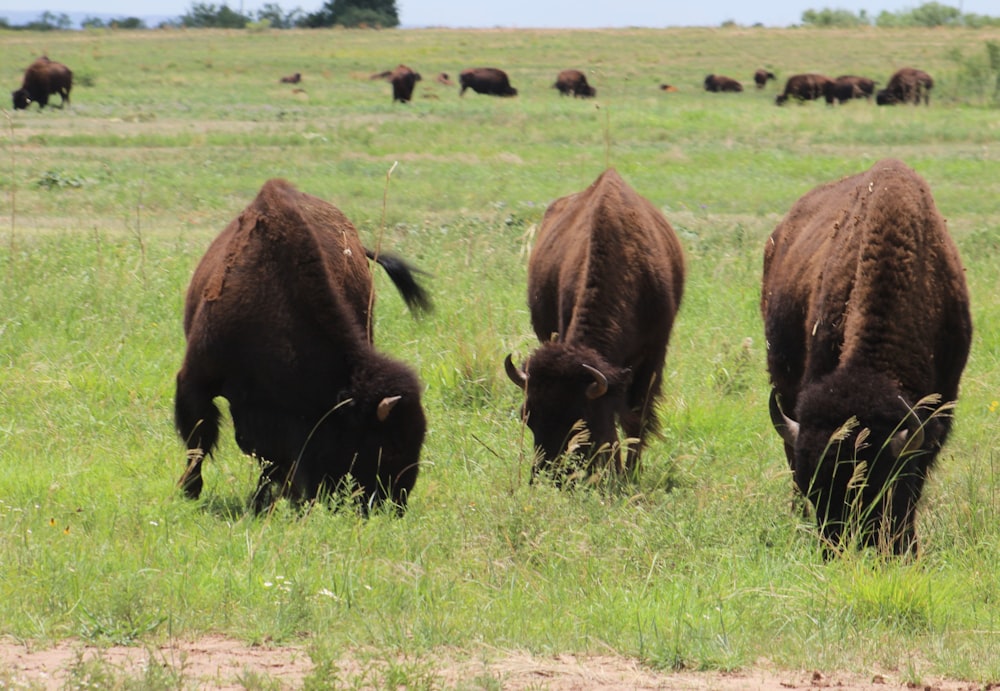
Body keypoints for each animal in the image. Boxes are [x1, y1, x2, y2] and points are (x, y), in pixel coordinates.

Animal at [176, 181, 434, 516]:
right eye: (385, 445)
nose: (394, 504)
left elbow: (274, 458)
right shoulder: (196, 380)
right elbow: (199, 440)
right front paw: (188, 491)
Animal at [504, 168, 684, 482]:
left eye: (579, 422)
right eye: (527, 416)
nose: (548, 477)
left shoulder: (653, 355)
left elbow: (635, 417)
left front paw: (628, 473)